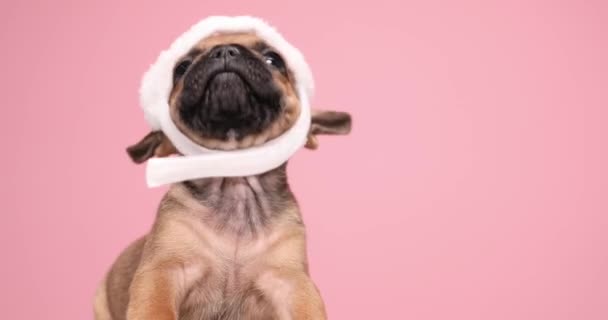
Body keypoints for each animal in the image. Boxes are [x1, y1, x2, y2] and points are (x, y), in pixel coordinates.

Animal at [94, 30, 352, 320]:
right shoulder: (163, 271)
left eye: (274, 59)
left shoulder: (290, 282)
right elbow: (155, 308)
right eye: (181, 68)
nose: (226, 50)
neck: (235, 181)